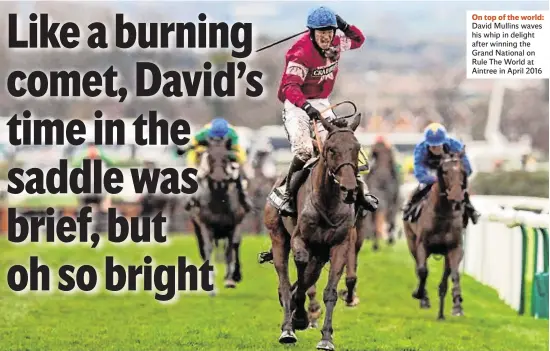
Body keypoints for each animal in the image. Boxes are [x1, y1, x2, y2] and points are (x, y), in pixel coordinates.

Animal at [266, 112, 364, 350]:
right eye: (331, 149)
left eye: (356, 148)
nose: (349, 188)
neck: (327, 202)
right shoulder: (300, 240)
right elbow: (300, 275)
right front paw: (299, 317)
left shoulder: (339, 245)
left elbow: (329, 292)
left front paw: (326, 338)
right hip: (278, 238)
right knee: (285, 281)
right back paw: (288, 328)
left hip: (320, 255)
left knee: (306, 278)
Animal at [404, 150, 468, 320]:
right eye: (444, 171)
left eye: (463, 171)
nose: (457, 197)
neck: (443, 213)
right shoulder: (422, 245)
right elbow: (422, 271)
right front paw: (420, 294)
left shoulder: (455, 248)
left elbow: (454, 275)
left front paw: (457, 306)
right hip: (411, 242)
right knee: (418, 268)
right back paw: (425, 299)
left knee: (445, 279)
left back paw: (441, 314)